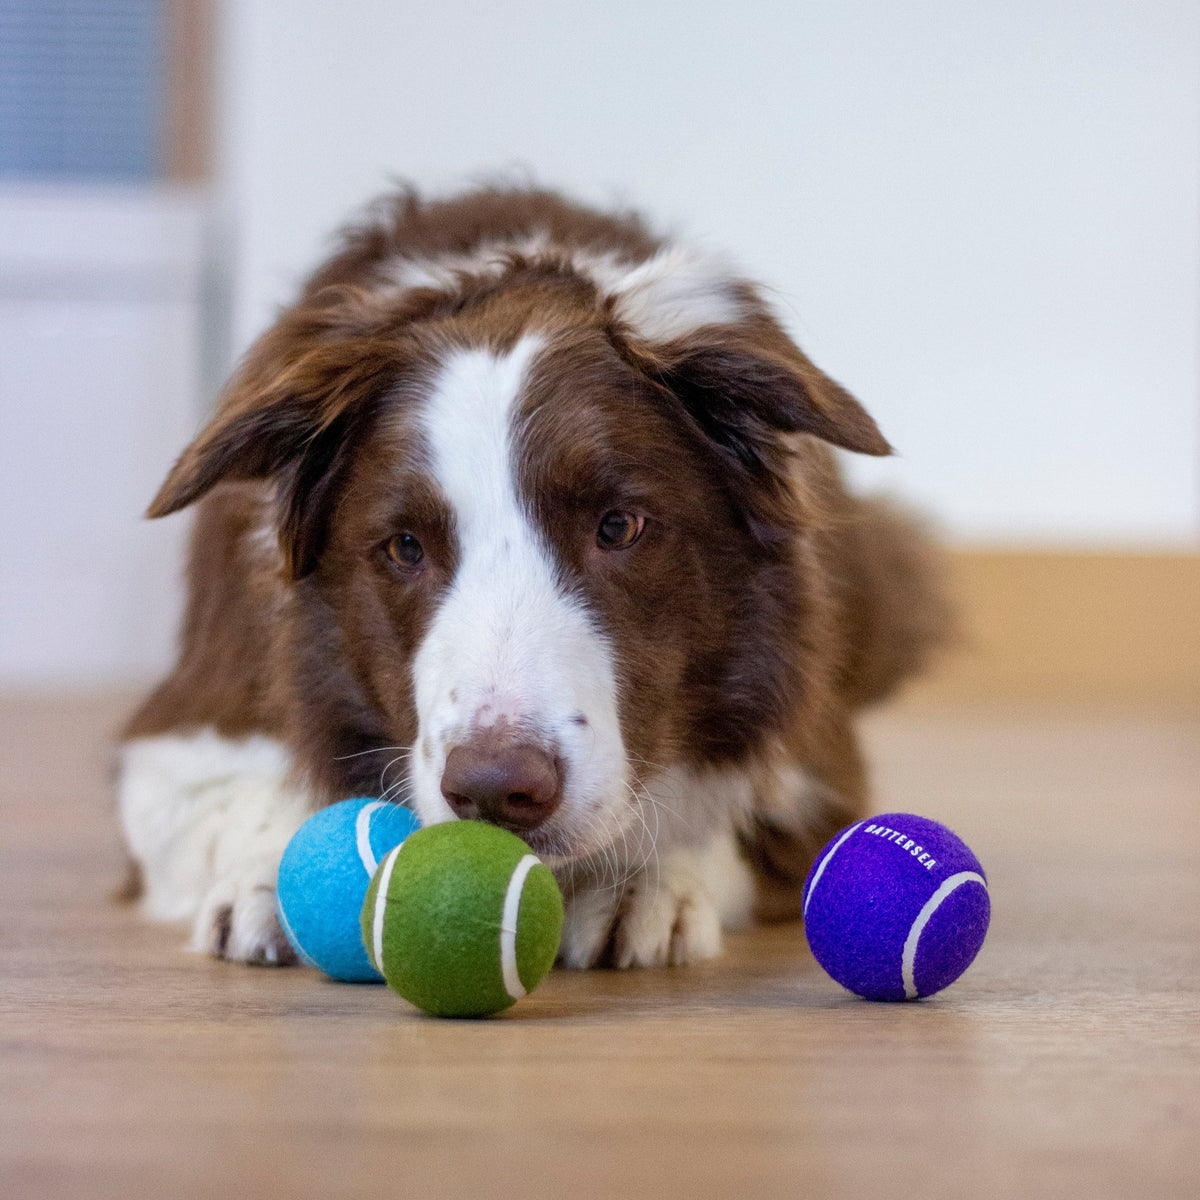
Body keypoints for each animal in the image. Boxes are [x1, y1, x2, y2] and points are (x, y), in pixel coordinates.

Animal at [119, 184, 945, 964]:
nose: (495, 790)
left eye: (618, 526)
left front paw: (637, 878)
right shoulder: (190, 724)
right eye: (405, 547)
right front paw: (273, 874)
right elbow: (233, 798)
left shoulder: (816, 766)